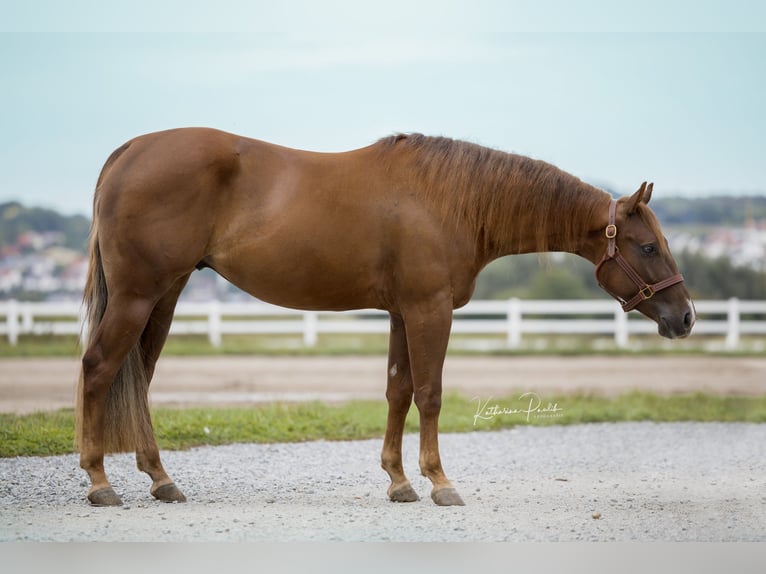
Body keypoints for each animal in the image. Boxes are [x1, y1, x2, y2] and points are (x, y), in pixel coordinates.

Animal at [75, 128, 695, 507]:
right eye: (647, 247)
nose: (685, 318)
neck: (447, 201)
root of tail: (128, 152)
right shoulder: (429, 310)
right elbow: (431, 394)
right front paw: (440, 482)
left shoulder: (402, 312)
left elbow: (399, 391)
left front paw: (399, 482)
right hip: (137, 296)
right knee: (98, 368)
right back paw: (100, 481)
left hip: (164, 295)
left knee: (140, 379)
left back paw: (161, 479)